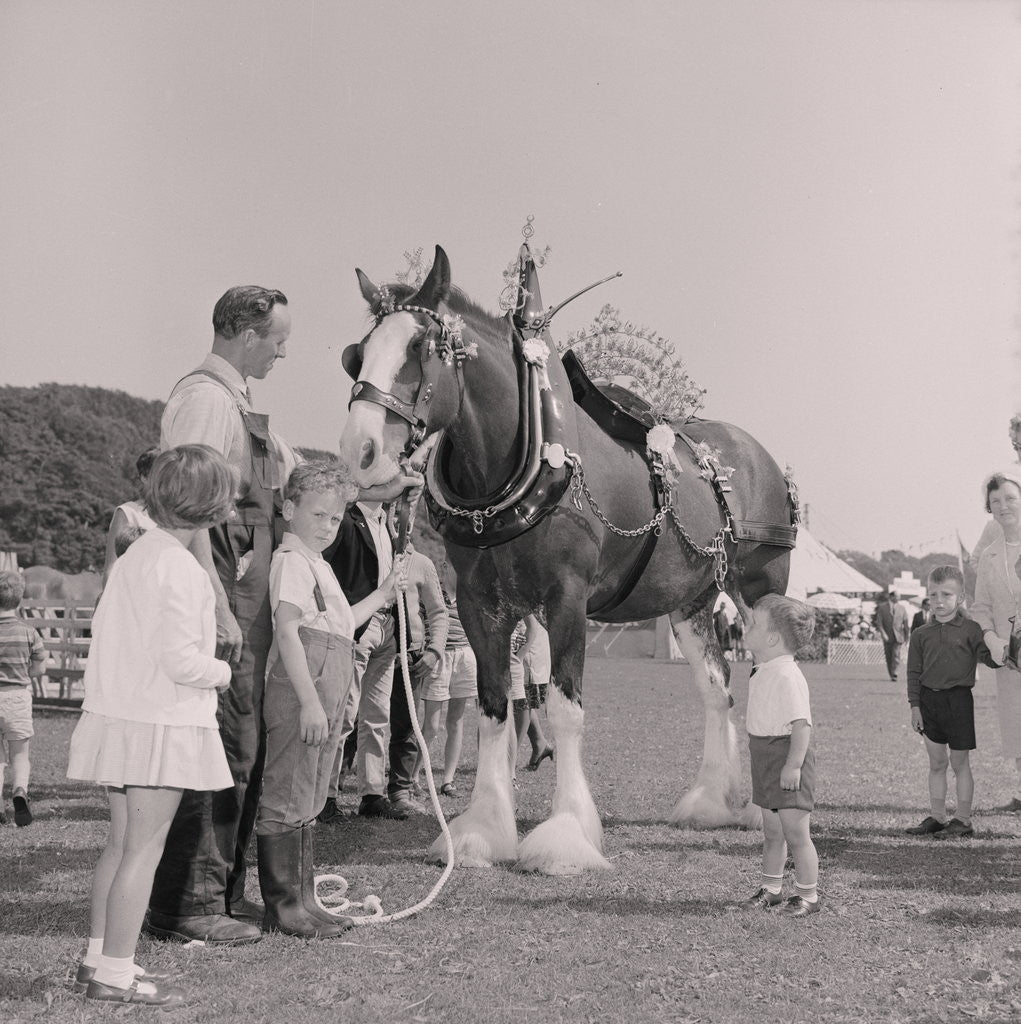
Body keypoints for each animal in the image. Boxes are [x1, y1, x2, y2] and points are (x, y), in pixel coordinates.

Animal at [337, 245, 794, 872]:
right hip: (693, 601)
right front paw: (483, 831)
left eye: (420, 348)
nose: (359, 453)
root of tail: (749, 453)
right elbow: (493, 709)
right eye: (355, 355)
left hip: (760, 587)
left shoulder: (567, 600)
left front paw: (567, 835)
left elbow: (564, 707)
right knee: (717, 692)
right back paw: (712, 801)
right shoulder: (480, 604)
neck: (520, 467)